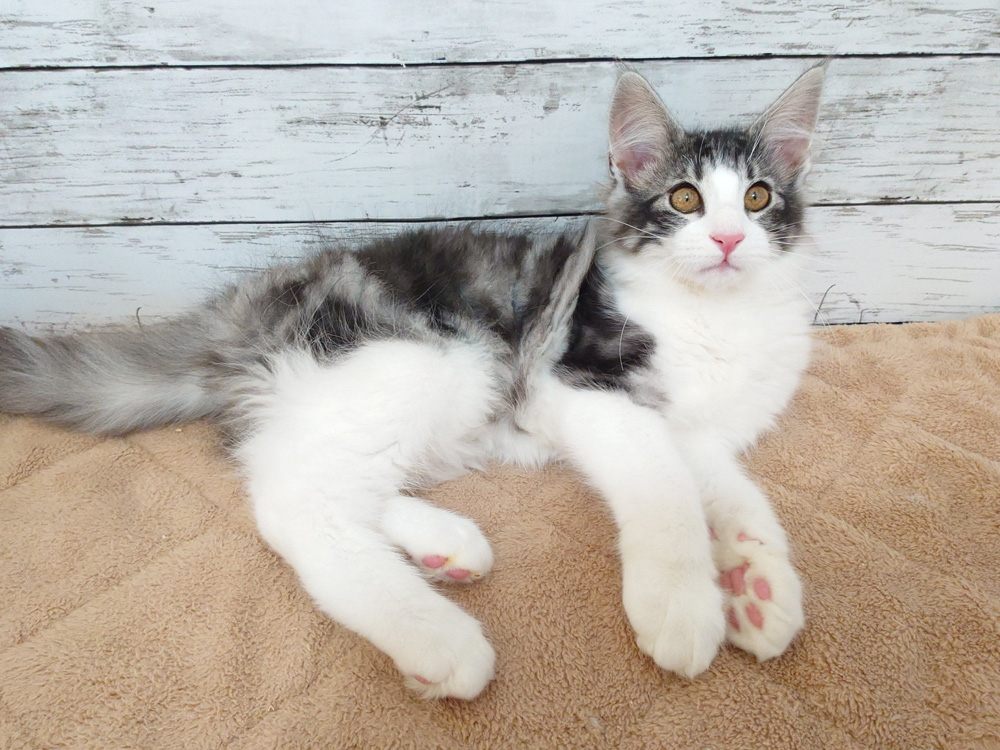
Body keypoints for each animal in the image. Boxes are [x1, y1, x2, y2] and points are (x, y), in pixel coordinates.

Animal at [0, 64, 826, 700]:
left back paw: (443, 547)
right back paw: (435, 637)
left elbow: (738, 499)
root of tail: (238, 310)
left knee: (304, 474)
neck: (716, 317)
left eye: (757, 198)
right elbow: (667, 496)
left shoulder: (704, 434)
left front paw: (760, 589)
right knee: (293, 503)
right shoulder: (583, 385)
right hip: (427, 360)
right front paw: (684, 606)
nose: (728, 240)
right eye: (685, 200)